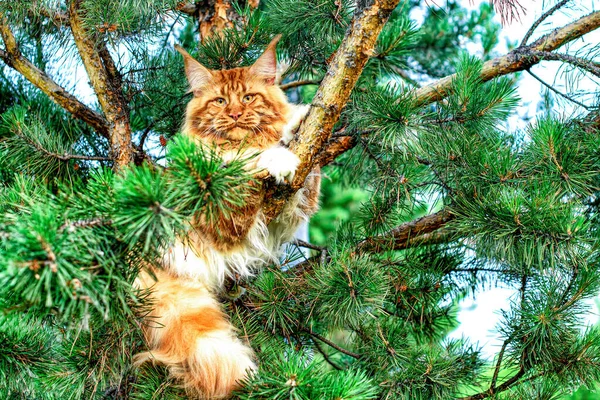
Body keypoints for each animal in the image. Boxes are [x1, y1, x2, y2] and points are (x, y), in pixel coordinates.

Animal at [134, 36, 322, 398]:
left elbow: (307, 175)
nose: (235, 114)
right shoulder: (223, 214)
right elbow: (245, 163)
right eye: (220, 101)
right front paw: (273, 154)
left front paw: (295, 121)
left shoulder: (292, 214)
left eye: (248, 98)